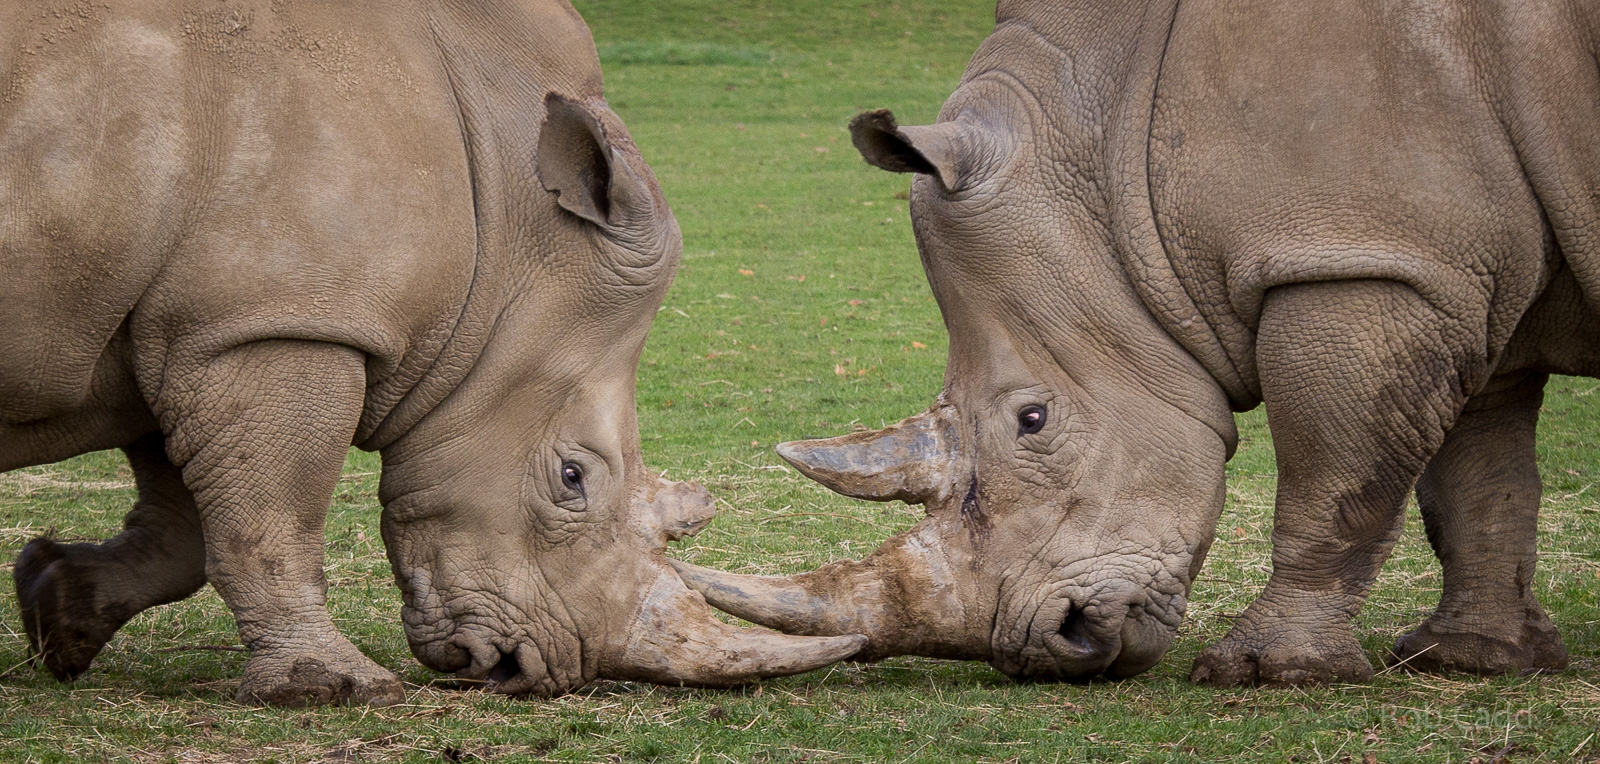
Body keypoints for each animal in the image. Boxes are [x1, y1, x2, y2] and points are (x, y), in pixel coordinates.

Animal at [0, 0, 863, 706]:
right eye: (572, 478)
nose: (524, 670)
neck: (508, 229)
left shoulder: (201, 322)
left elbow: (188, 524)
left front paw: (55, 609)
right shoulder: (280, 319)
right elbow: (273, 516)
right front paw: (330, 688)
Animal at [674, 0, 1600, 686]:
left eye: (1034, 420)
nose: (1056, 645)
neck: (1112, 146)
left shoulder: (1362, 258)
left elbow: (1336, 476)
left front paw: (1266, 674)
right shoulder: (1450, 269)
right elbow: (1480, 472)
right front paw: (1473, 659)